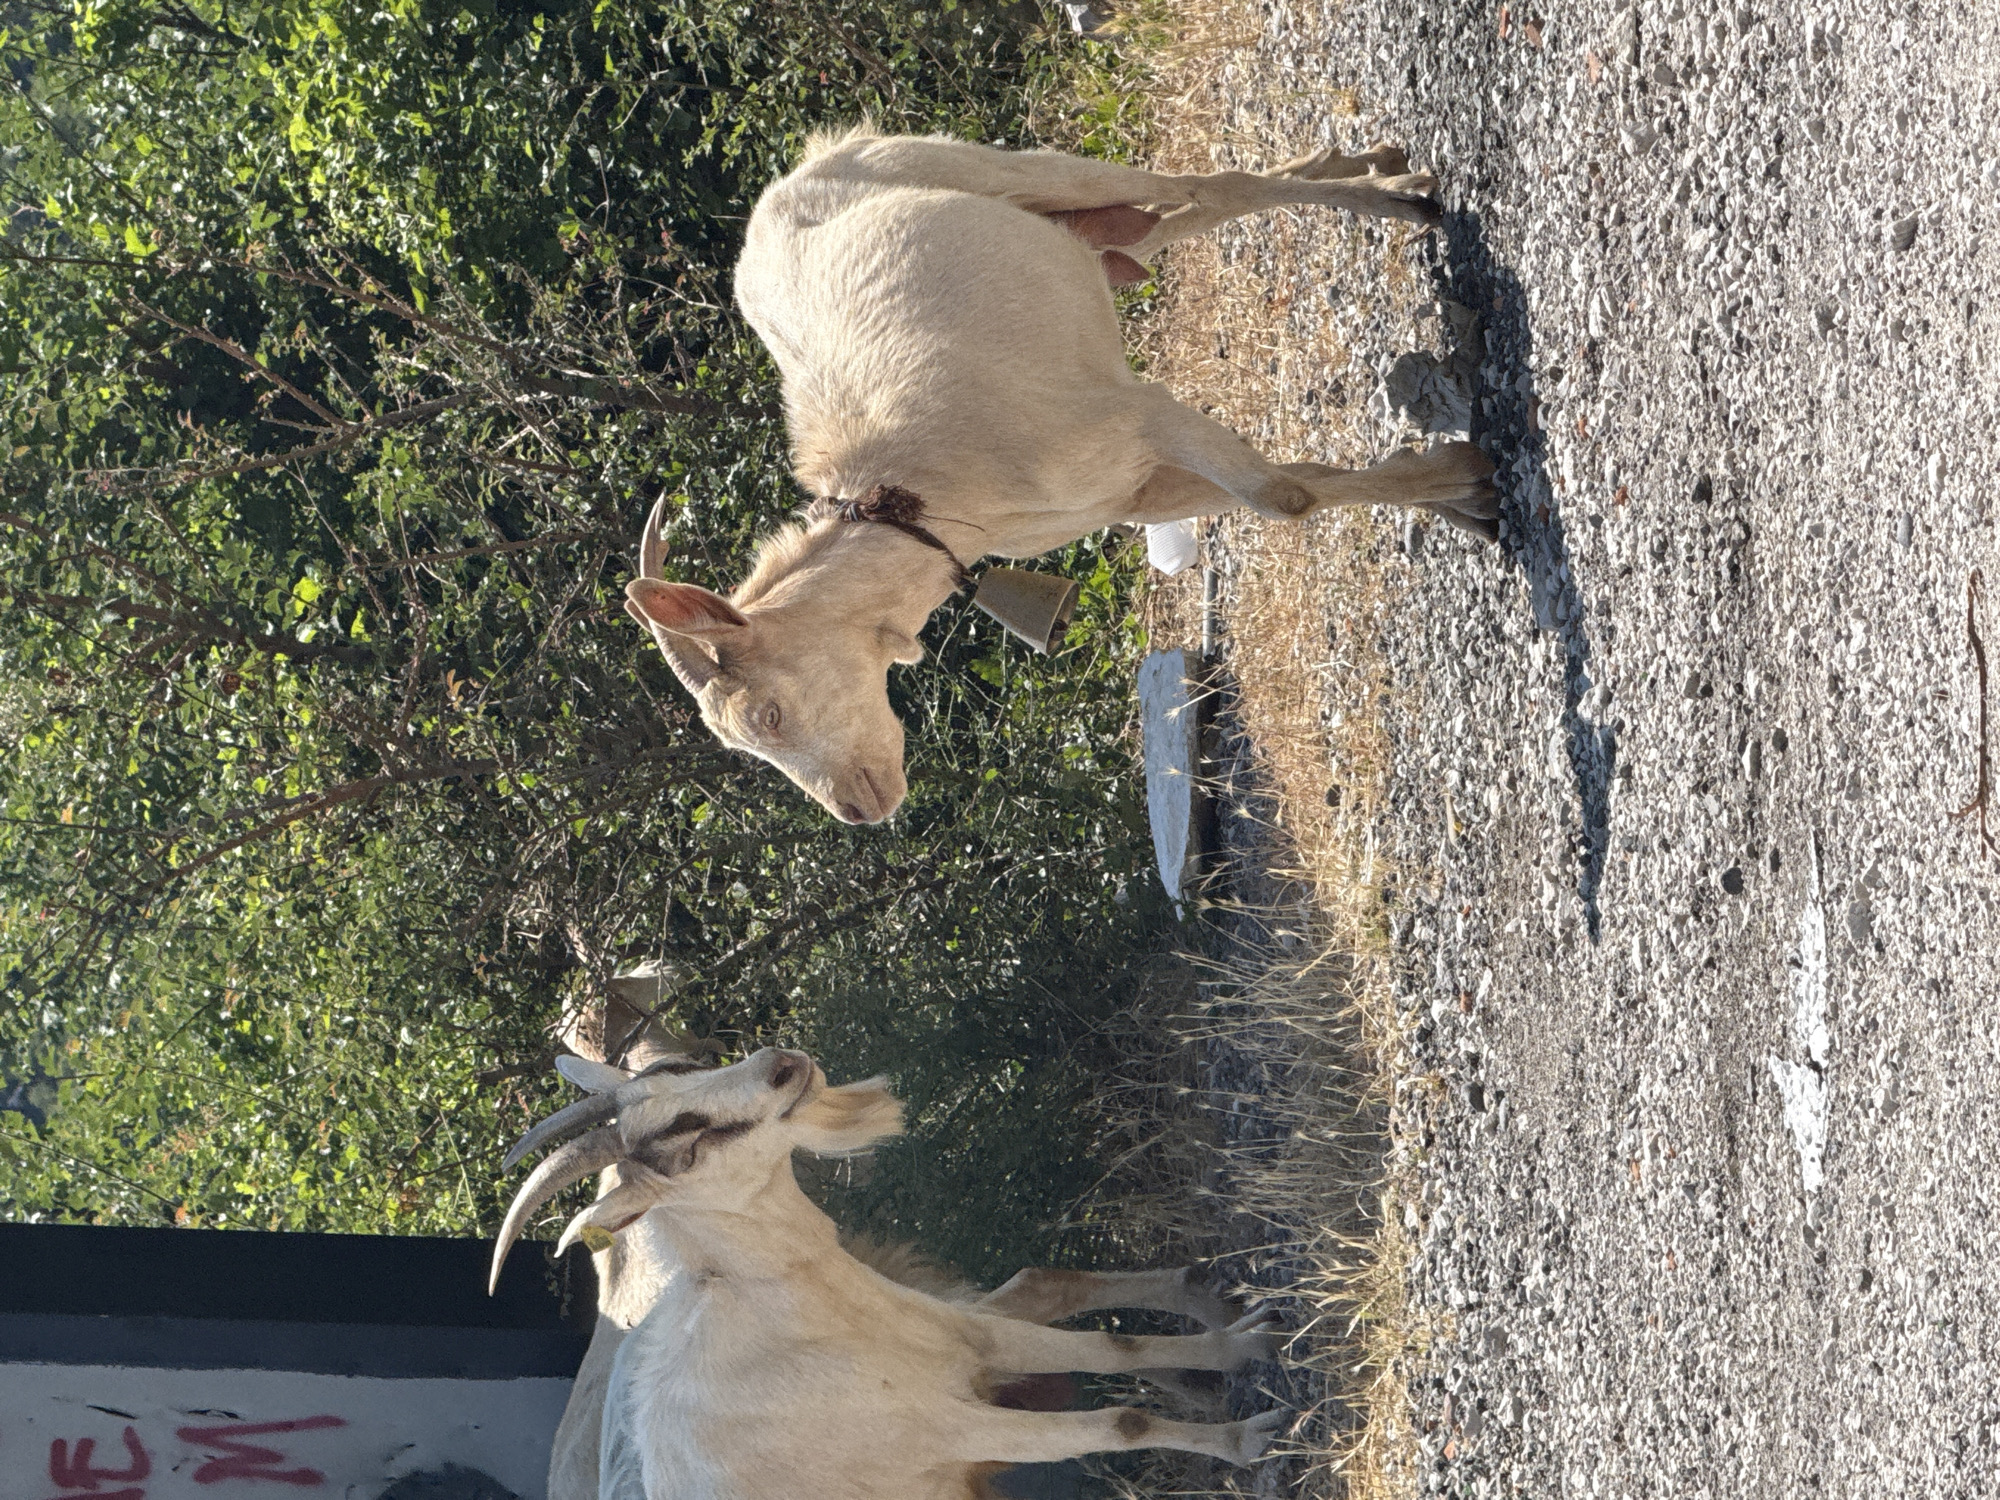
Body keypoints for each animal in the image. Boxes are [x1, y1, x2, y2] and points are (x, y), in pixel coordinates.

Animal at [490, 1048, 1288, 1499]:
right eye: (683, 1138)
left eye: (682, 1075)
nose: (782, 1064)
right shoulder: (951, 1431)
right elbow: (1120, 1423)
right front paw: (1254, 1438)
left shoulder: (975, 1343)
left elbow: (1117, 1348)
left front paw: (1250, 1342)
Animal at [624, 126, 1498, 823]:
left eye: (768, 716)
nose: (859, 808)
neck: (933, 500)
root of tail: (800, 170)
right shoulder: (1129, 486)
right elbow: (1289, 484)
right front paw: (1456, 497)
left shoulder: (1139, 416)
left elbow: (1285, 496)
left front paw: (1471, 479)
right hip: (1069, 238)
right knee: (1180, 218)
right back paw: (1371, 164)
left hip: (1003, 167)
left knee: (1198, 186)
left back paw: (1403, 198)